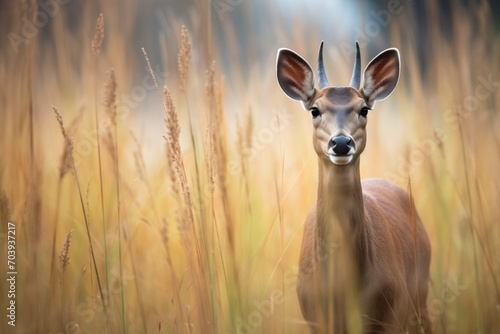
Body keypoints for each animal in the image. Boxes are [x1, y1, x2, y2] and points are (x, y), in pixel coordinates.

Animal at [276, 42, 432, 334]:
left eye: (364, 109)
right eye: (315, 109)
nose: (340, 142)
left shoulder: (389, 317)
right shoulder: (316, 319)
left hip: (420, 298)